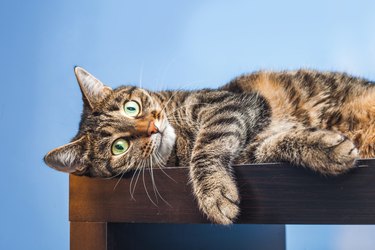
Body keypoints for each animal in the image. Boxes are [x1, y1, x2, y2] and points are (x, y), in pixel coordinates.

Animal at [44, 66, 375, 225]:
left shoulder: (230, 104)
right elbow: (276, 142)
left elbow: (208, 145)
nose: (152, 127)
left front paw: (213, 191)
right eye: (119, 147)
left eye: (131, 108)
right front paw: (326, 147)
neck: (181, 140)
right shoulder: (253, 145)